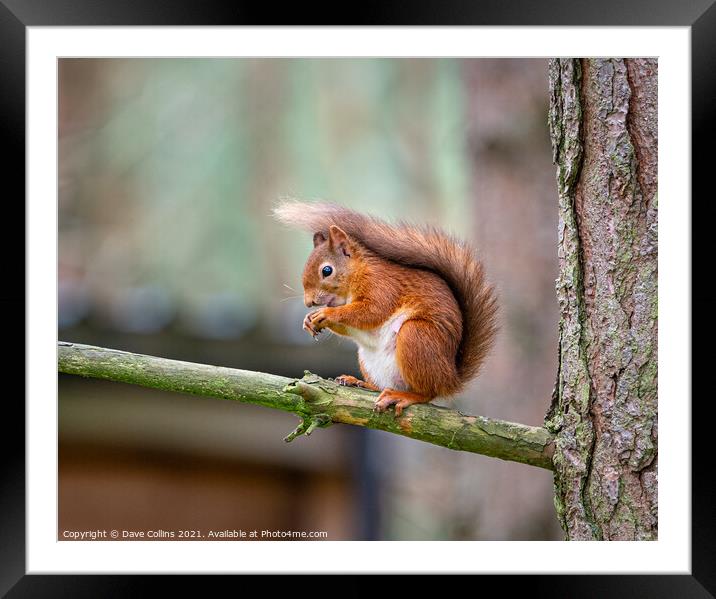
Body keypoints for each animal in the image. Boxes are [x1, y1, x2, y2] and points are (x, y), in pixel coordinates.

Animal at [274, 202, 498, 418]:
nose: (308, 302)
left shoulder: (382, 286)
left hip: (416, 337)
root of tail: (450, 379)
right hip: (368, 360)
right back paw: (360, 382)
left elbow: (371, 312)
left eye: (327, 270)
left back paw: (404, 396)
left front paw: (326, 314)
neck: (358, 273)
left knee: (427, 392)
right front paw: (308, 320)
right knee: (383, 385)